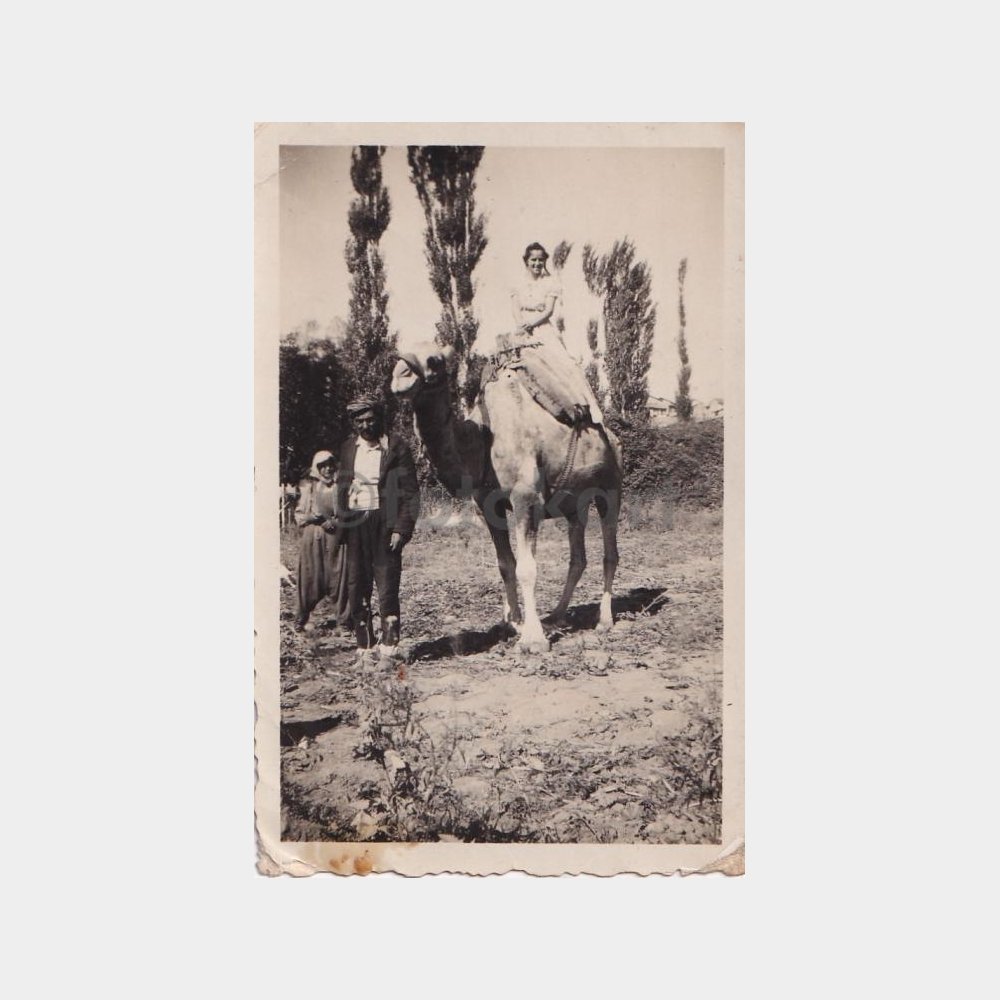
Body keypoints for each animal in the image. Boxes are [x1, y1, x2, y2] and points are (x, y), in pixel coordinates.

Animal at [391, 343, 623, 653]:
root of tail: (613, 437)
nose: (399, 375)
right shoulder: (487, 506)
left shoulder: (526, 499)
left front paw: (533, 639)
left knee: (610, 552)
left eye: (435, 360)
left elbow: (527, 567)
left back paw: (604, 621)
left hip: (611, 487)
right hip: (575, 502)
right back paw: (556, 616)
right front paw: (512, 623)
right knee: (578, 558)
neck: (483, 440)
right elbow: (505, 564)